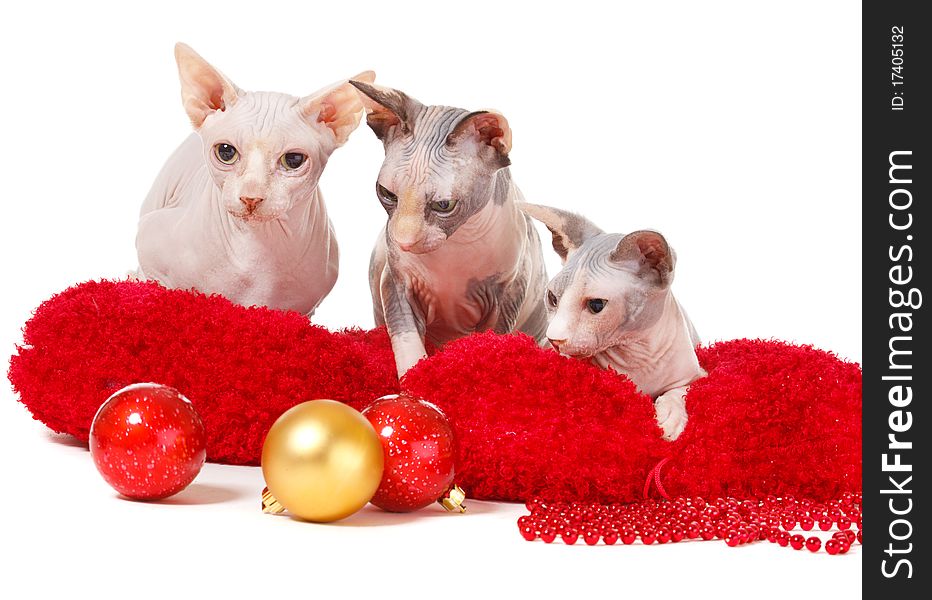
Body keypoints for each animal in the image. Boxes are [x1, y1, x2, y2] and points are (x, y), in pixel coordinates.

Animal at [136, 44, 374, 316]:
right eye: (226, 152)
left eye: (293, 159)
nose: (251, 198)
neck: (259, 248)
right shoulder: (148, 242)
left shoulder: (305, 309)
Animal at [352, 82, 552, 378]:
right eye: (386, 193)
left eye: (444, 205)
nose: (403, 242)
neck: (455, 247)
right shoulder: (396, 281)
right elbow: (408, 346)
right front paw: (413, 382)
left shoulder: (506, 294)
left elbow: (485, 345)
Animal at [520, 203, 704, 440]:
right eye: (552, 298)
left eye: (596, 305)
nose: (554, 340)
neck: (638, 352)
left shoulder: (699, 375)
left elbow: (681, 390)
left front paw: (670, 416)